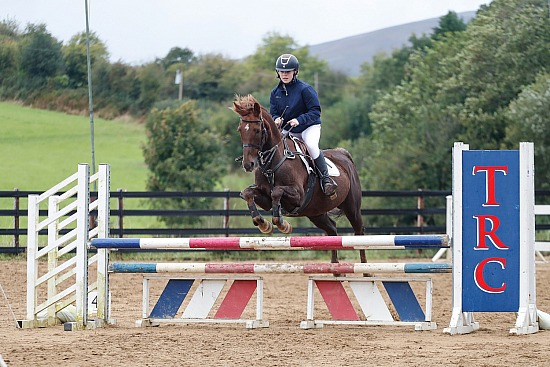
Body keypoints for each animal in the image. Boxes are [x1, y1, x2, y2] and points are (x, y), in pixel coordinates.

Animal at [233, 93, 366, 264]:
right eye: (240, 130)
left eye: (257, 130)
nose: (248, 164)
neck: (274, 162)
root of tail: (343, 154)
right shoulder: (265, 199)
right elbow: (248, 193)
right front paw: (263, 224)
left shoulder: (298, 196)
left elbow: (276, 192)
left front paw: (282, 224)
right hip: (316, 212)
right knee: (332, 229)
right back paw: (334, 267)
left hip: (352, 207)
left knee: (359, 232)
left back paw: (365, 267)